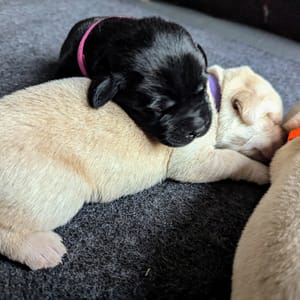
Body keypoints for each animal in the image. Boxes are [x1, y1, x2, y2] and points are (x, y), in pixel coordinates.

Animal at [0, 65, 284, 270]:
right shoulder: (194, 159)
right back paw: (41, 249)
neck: (215, 97)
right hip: (57, 190)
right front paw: (262, 171)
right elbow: (232, 159)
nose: (283, 138)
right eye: (272, 119)